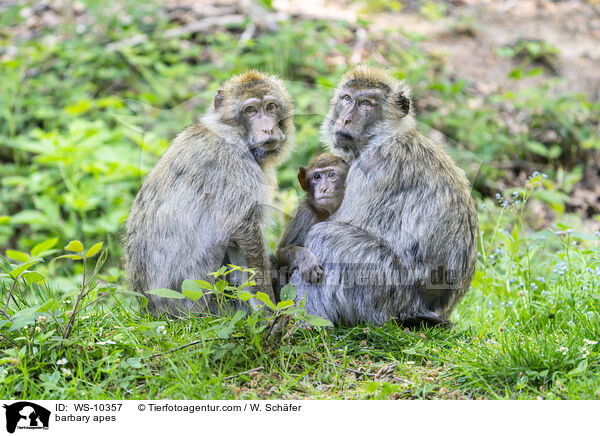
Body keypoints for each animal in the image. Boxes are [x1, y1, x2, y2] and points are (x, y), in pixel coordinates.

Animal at [276, 155, 346, 284]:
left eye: (331, 174)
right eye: (316, 177)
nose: (323, 188)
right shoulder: (304, 213)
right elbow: (280, 254)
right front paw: (306, 259)